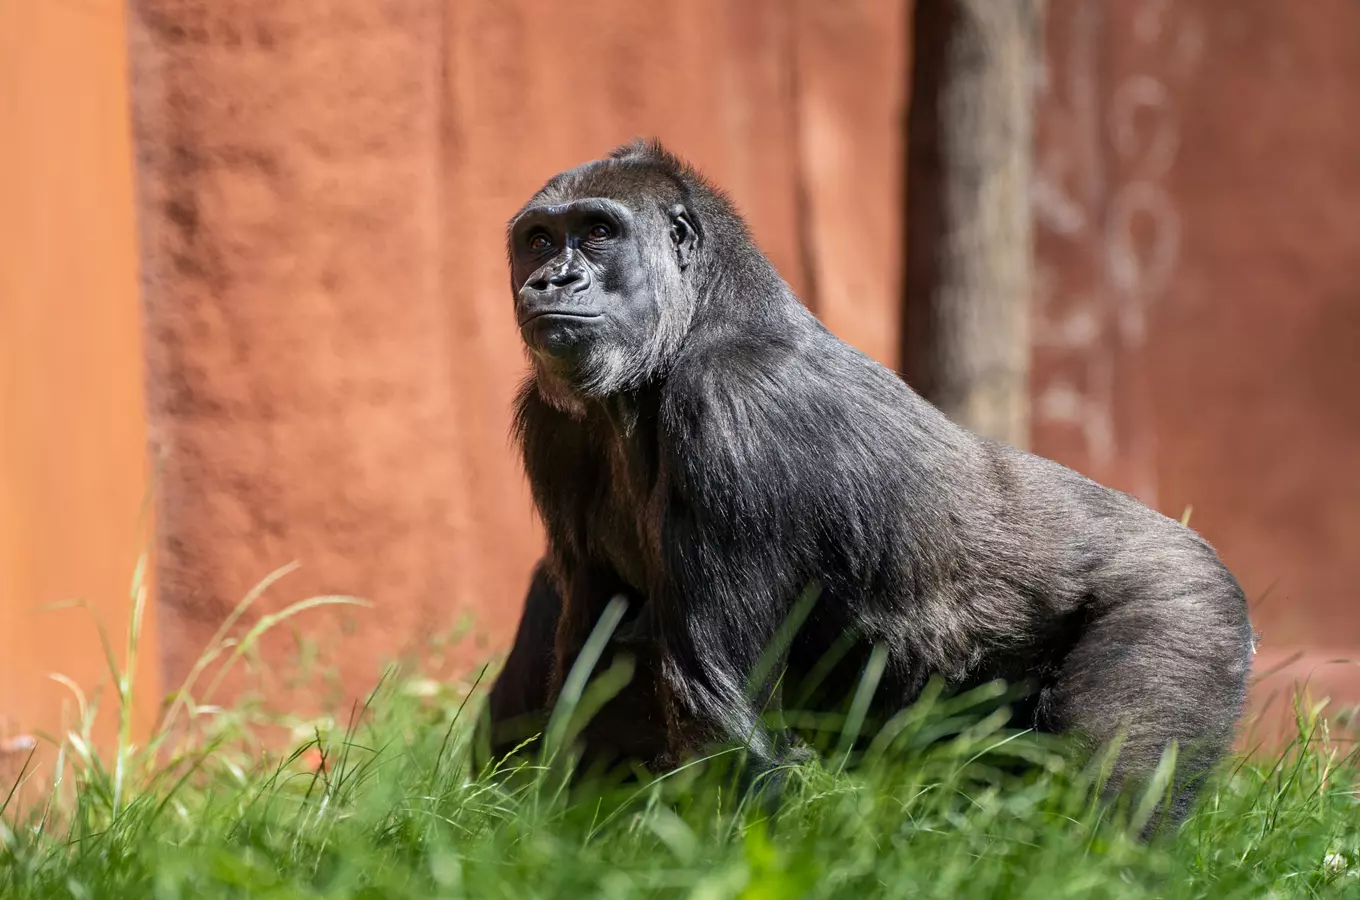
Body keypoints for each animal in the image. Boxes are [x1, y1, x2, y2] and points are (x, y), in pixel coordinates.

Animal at [486, 139, 1251, 832]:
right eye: (538, 240)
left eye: (598, 232)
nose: (552, 281)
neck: (694, 321)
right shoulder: (554, 428)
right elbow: (590, 661)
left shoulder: (733, 409)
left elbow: (710, 693)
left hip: (1189, 609)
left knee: (1108, 797)